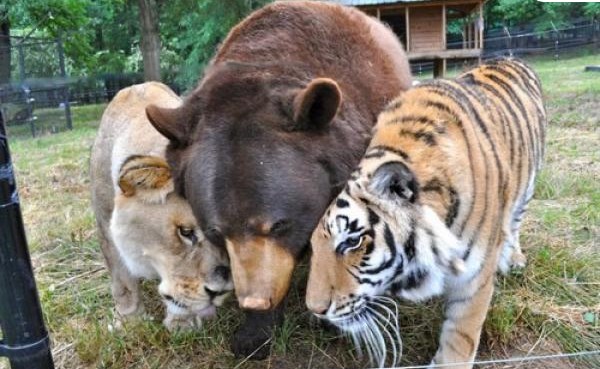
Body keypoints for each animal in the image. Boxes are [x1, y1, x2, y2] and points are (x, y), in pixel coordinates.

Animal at [90, 82, 233, 330]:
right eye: (185, 232)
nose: (220, 291)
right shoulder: (105, 225)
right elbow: (122, 282)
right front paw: (130, 322)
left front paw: (182, 323)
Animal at [308, 58, 548, 368]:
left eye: (352, 241)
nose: (315, 310)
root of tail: (510, 58)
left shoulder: (475, 278)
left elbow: (461, 334)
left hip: (528, 186)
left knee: (515, 221)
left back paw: (515, 257)